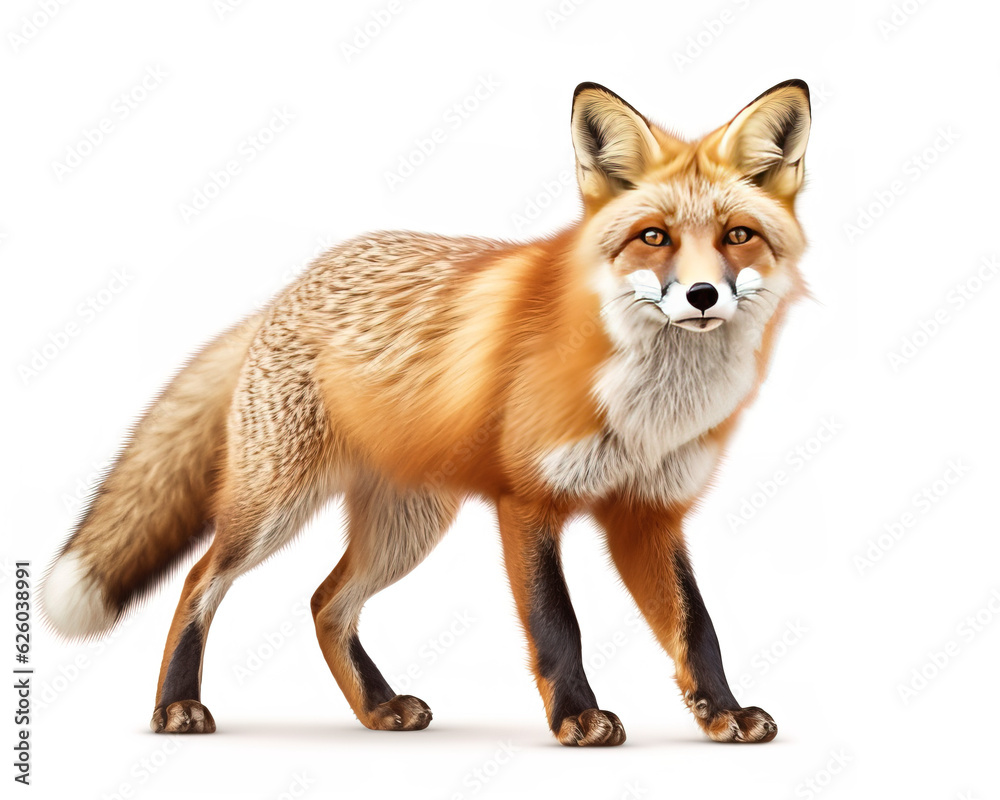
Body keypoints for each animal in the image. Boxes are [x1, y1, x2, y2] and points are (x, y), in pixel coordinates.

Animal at [42, 78, 811, 746]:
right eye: (654, 237)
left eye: (738, 235)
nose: (704, 295)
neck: (649, 407)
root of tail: (287, 291)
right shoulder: (526, 501)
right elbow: (557, 626)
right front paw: (576, 719)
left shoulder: (647, 512)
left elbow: (696, 627)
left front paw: (723, 712)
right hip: (272, 509)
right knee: (201, 581)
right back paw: (176, 705)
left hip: (408, 526)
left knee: (326, 602)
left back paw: (377, 708)